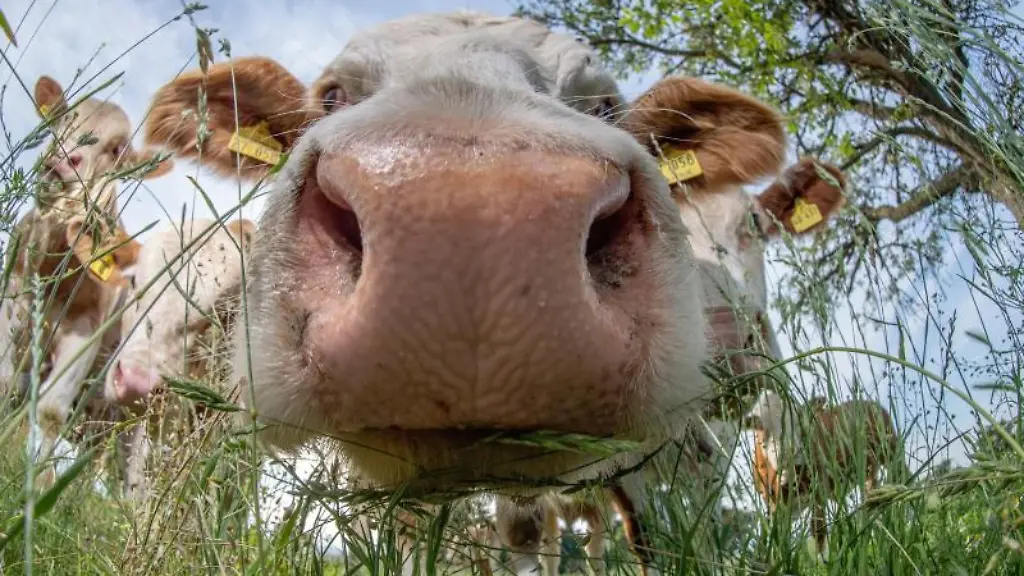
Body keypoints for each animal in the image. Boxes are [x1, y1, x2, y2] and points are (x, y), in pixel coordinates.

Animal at [0, 74, 173, 488]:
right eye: (63, 118)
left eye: (116, 149)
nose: (63, 160)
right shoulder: (11, 298)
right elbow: (5, 386)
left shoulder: (86, 331)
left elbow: (50, 412)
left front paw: (38, 485)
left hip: (136, 407)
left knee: (132, 472)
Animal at [745, 389, 903, 553]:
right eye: (761, 426)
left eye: (800, 421)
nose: (792, 451)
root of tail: (867, 401)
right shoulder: (776, 504)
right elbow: (775, 536)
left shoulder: (819, 489)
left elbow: (818, 531)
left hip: (891, 450)